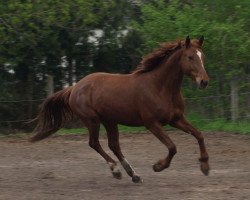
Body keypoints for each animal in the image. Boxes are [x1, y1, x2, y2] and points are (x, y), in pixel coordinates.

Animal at [31, 35, 211, 183]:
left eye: (202, 57)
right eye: (190, 57)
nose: (204, 81)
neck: (160, 88)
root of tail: (74, 87)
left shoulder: (176, 119)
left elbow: (199, 135)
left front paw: (205, 167)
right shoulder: (152, 124)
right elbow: (172, 147)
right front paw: (158, 166)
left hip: (109, 121)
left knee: (114, 145)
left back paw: (134, 174)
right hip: (92, 120)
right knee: (94, 143)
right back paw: (116, 170)